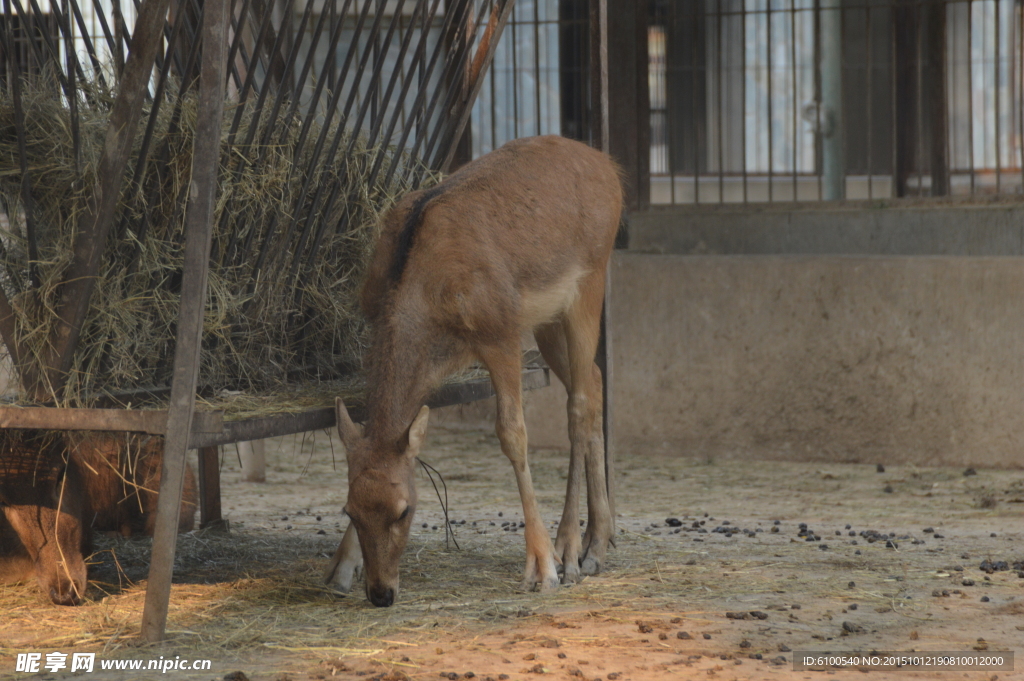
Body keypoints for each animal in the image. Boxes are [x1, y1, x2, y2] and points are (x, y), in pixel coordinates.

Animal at [323, 134, 618, 606]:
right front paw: (339, 568)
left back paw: (572, 550)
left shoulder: (500, 333)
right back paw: (598, 542)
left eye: (405, 511)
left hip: (589, 283)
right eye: (348, 510)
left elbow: (513, 434)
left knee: (579, 403)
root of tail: (610, 168)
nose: (381, 593)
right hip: (548, 320)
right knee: (593, 379)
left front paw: (542, 567)